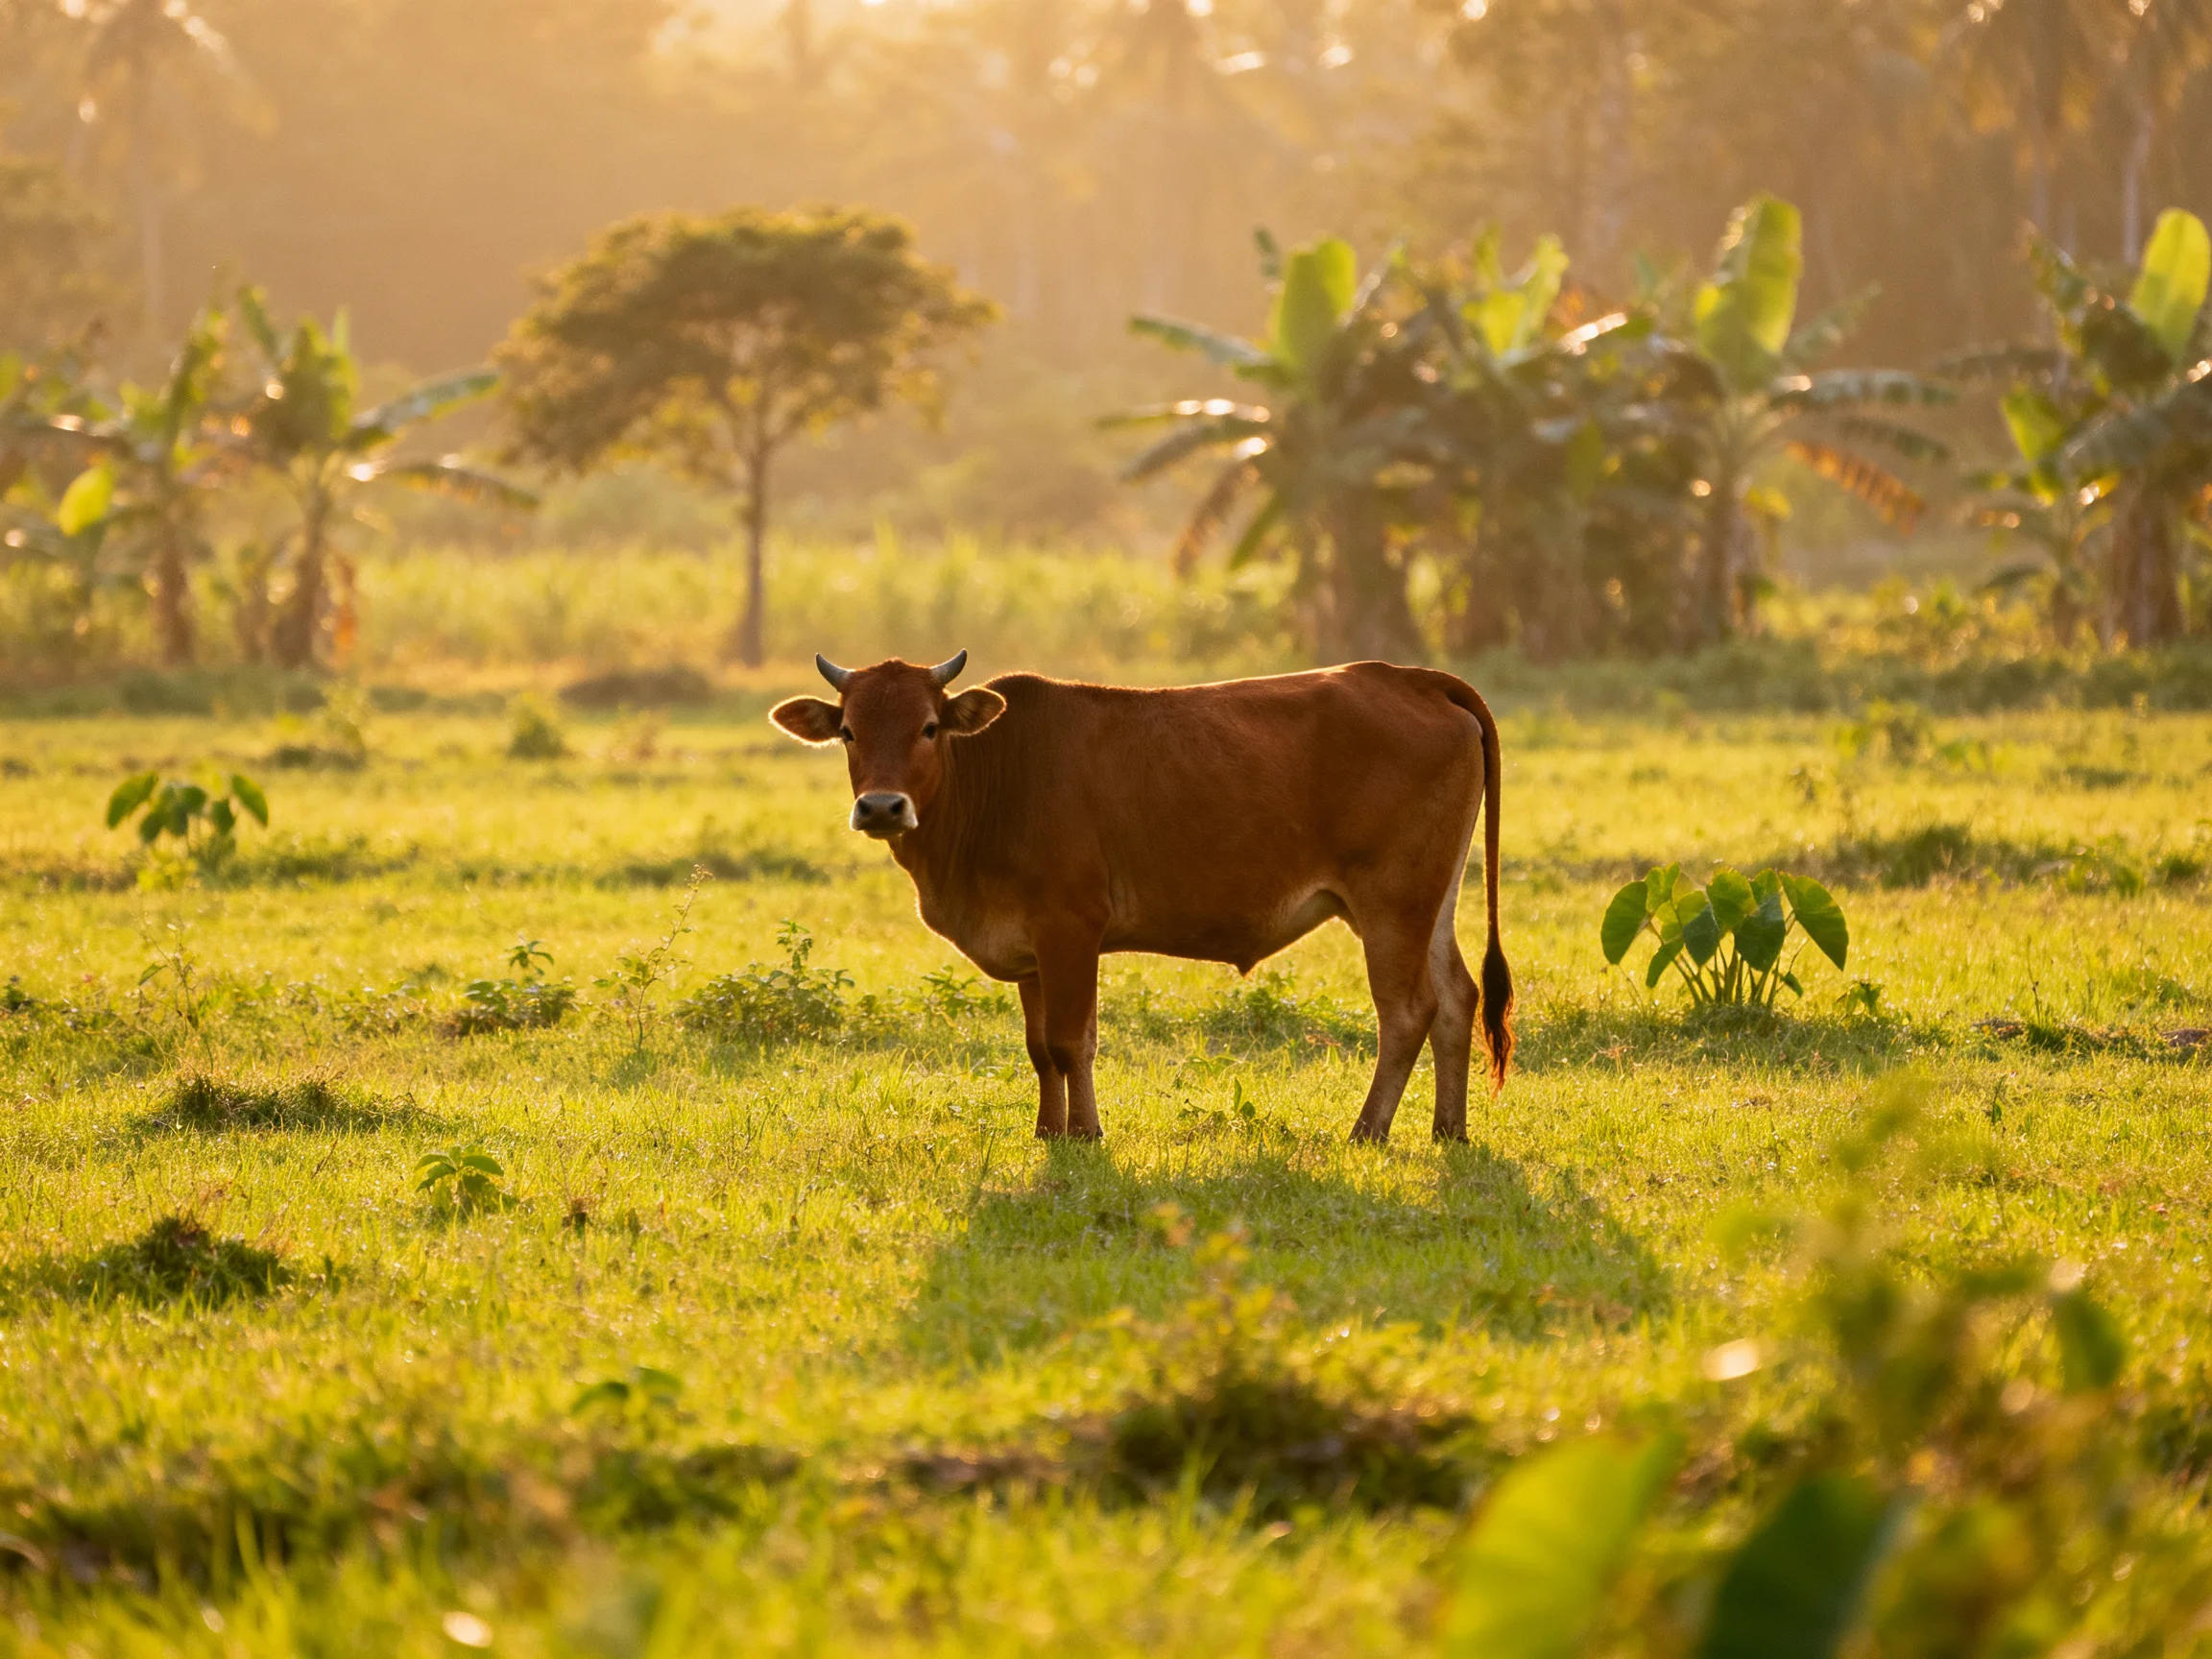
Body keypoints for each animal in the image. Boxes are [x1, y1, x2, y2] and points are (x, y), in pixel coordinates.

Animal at [769, 650, 1512, 1143]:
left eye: (928, 726)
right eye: (848, 731)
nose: (882, 807)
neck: (995, 773)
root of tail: (1412, 678)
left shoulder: (1071, 928)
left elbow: (1070, 1042)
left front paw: (1085, 1134)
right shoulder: (1031, 949)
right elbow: (1038, 1048)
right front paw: (1049, 1130)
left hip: (1391, 904)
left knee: (1407, 1013)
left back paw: (1368, 1130)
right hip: (1431, 901)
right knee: (1457, 998)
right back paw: (1449, 1129)